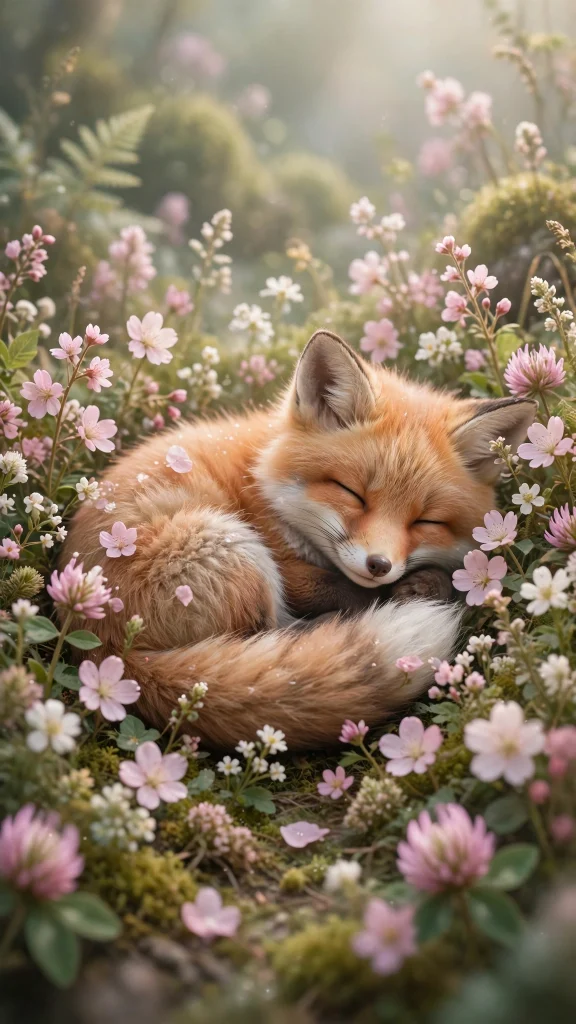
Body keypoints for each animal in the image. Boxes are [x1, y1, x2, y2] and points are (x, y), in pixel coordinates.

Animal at [62, 330, 536, 749]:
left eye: (426, 521)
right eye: (352, 493)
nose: (379, 565)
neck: (262, 482)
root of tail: (104, 648)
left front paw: (423, 584)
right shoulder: (284, 561)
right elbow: (335, 588)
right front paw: (392, 598)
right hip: (234, 548)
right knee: (273, 635)